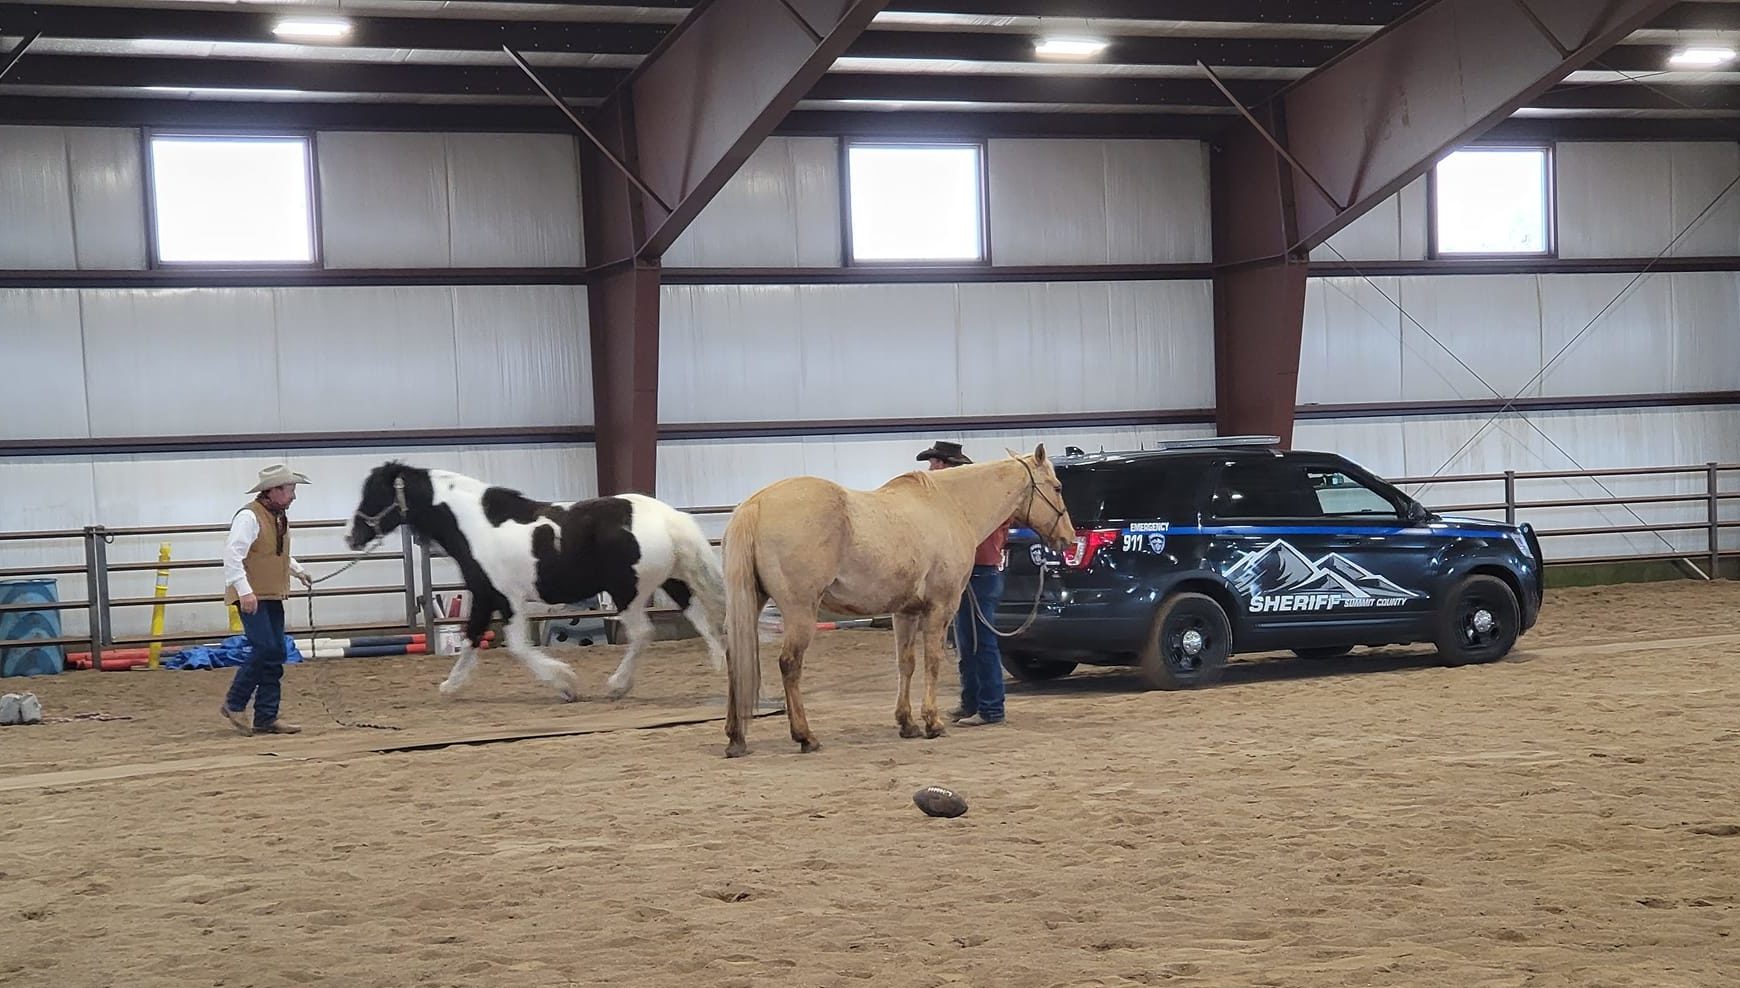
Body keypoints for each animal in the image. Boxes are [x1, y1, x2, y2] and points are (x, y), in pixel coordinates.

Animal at [346, 462, 727, 702]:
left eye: (375, 493)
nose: (352, 536)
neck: (473, 524)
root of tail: (669, 518)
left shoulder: (506, 599)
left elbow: (515, 646)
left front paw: (566, 684)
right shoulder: (485, 595)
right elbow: (472, 639)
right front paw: (449, 687)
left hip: (628, 593)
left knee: (643, 634)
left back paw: (617, 686)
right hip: (672, 582)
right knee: (701, 620)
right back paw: (723, 670)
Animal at [720, 443, 1071, 761]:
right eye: (1057, 487)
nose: (1067, 538)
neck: (950, 505)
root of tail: (756, 503)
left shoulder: (905, 612)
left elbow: (907, 663)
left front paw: (907, 724)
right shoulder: (940, 608)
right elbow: (932, 661)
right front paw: (932, 723)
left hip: (750, 604)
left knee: (734, 658)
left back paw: (736, 739)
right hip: (800, 613)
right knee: (789, 664)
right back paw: (806, 736)